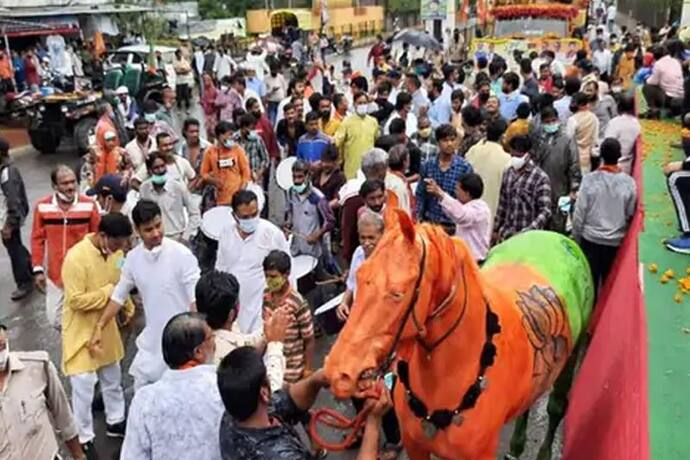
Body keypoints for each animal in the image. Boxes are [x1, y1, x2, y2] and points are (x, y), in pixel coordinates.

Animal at [322, 211, 592, 460]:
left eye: (397, 293)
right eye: (359, 275)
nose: (338, 372)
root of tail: (556, 235)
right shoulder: (414, 444)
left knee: (556, 407)